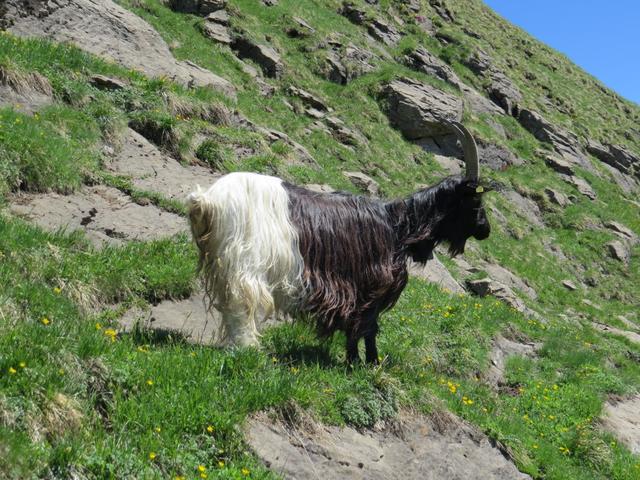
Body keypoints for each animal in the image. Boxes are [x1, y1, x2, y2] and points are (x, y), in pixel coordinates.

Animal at [186, 122, 490, 362]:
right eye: (475, 201)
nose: (485, 230)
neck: (397, 226)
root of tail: (209, 200)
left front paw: (357, 360)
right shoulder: (372, 285)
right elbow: (367, 326)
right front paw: (366, 363)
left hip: (224, 261)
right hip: (245, 260)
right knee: (242, 302)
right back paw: (247, 349)